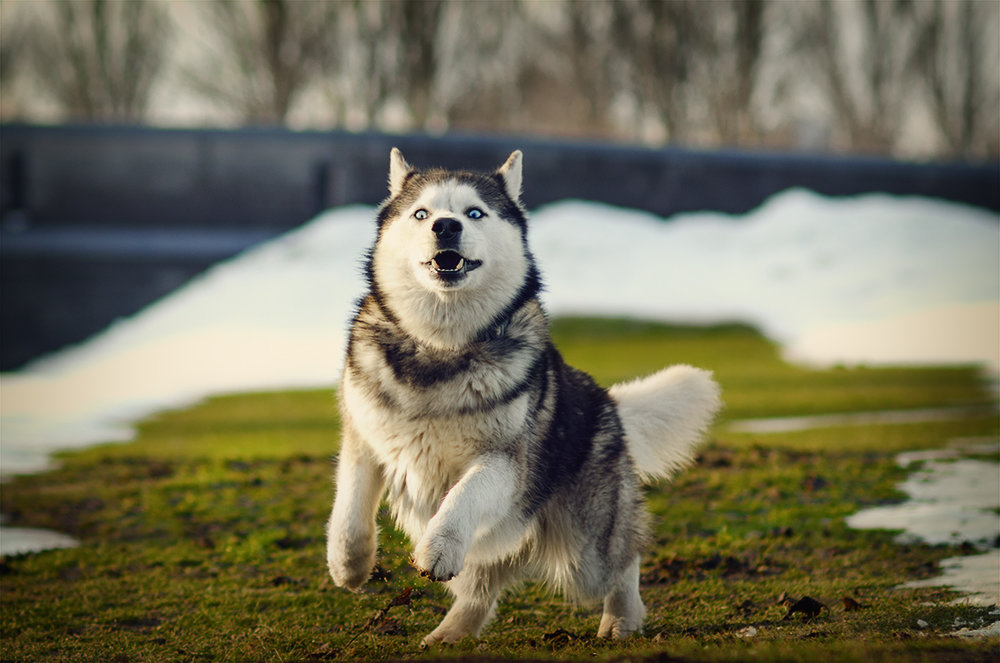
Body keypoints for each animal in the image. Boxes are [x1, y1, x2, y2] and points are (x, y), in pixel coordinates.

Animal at [326, 148, 720, 644]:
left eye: (475, 212)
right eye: (422, 214)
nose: (446, 226)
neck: (441, 349)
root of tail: (608, 403)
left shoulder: (504, 463)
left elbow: (462, 498)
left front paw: (437, 546)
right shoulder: (364, 439)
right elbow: (349, 511)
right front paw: (349, 566)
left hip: (584, 552)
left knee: (622, 561)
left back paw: (622, 620)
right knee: (480, 587)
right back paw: (450, 633)